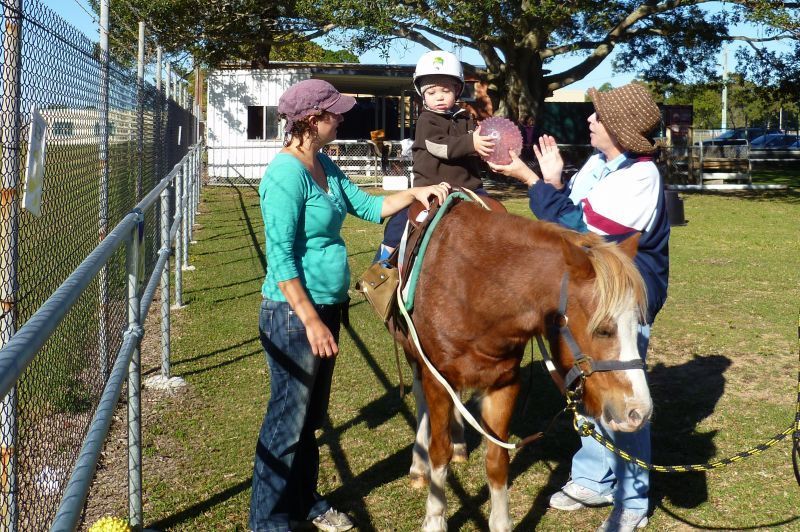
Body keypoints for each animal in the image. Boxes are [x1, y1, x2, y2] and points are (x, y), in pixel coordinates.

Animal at [392, 200, 651, 532]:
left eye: (638, 323)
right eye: (604, 330)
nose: (639, 412)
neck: (472, 286)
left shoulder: (503, 383)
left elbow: (496, 460)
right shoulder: (437, 378)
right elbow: (439, 451)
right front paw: (435, 519)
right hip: (414, 358)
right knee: (420, 399)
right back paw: (418, 464)